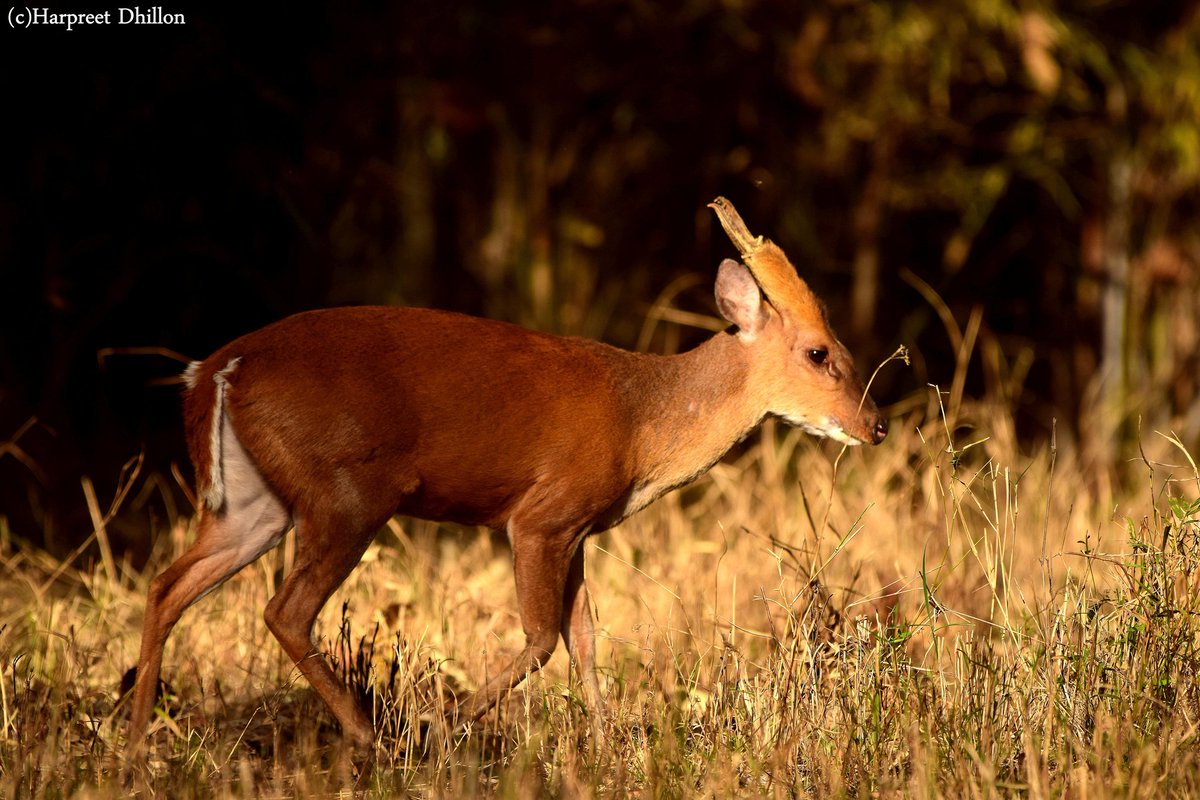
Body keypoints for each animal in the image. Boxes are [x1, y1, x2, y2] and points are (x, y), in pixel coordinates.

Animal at [126, 198, 888, 751]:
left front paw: (606, 744)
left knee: (168, 585)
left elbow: (586, 639)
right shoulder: (541, 515)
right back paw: (374, 739)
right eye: (819, 352)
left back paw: (135, 744)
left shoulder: (579, 529)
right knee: (284, 610)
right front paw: (443, 725)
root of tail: (212, 372)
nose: (876, 425)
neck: (643, 422)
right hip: (345, 494)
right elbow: (544, 639)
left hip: (254, 503)